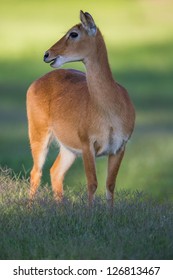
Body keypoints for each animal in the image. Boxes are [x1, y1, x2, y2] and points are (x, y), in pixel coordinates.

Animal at [26, 10, 135, 206]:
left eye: (74, 33)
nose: (47, 54)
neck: (110, 112)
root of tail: (35, 83)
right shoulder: (87, 144)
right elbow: (92, 183)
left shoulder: (119, 147)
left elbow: (110, 185)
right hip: (38, 133)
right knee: (36, 172)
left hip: (68, 148)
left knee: (55, 172)